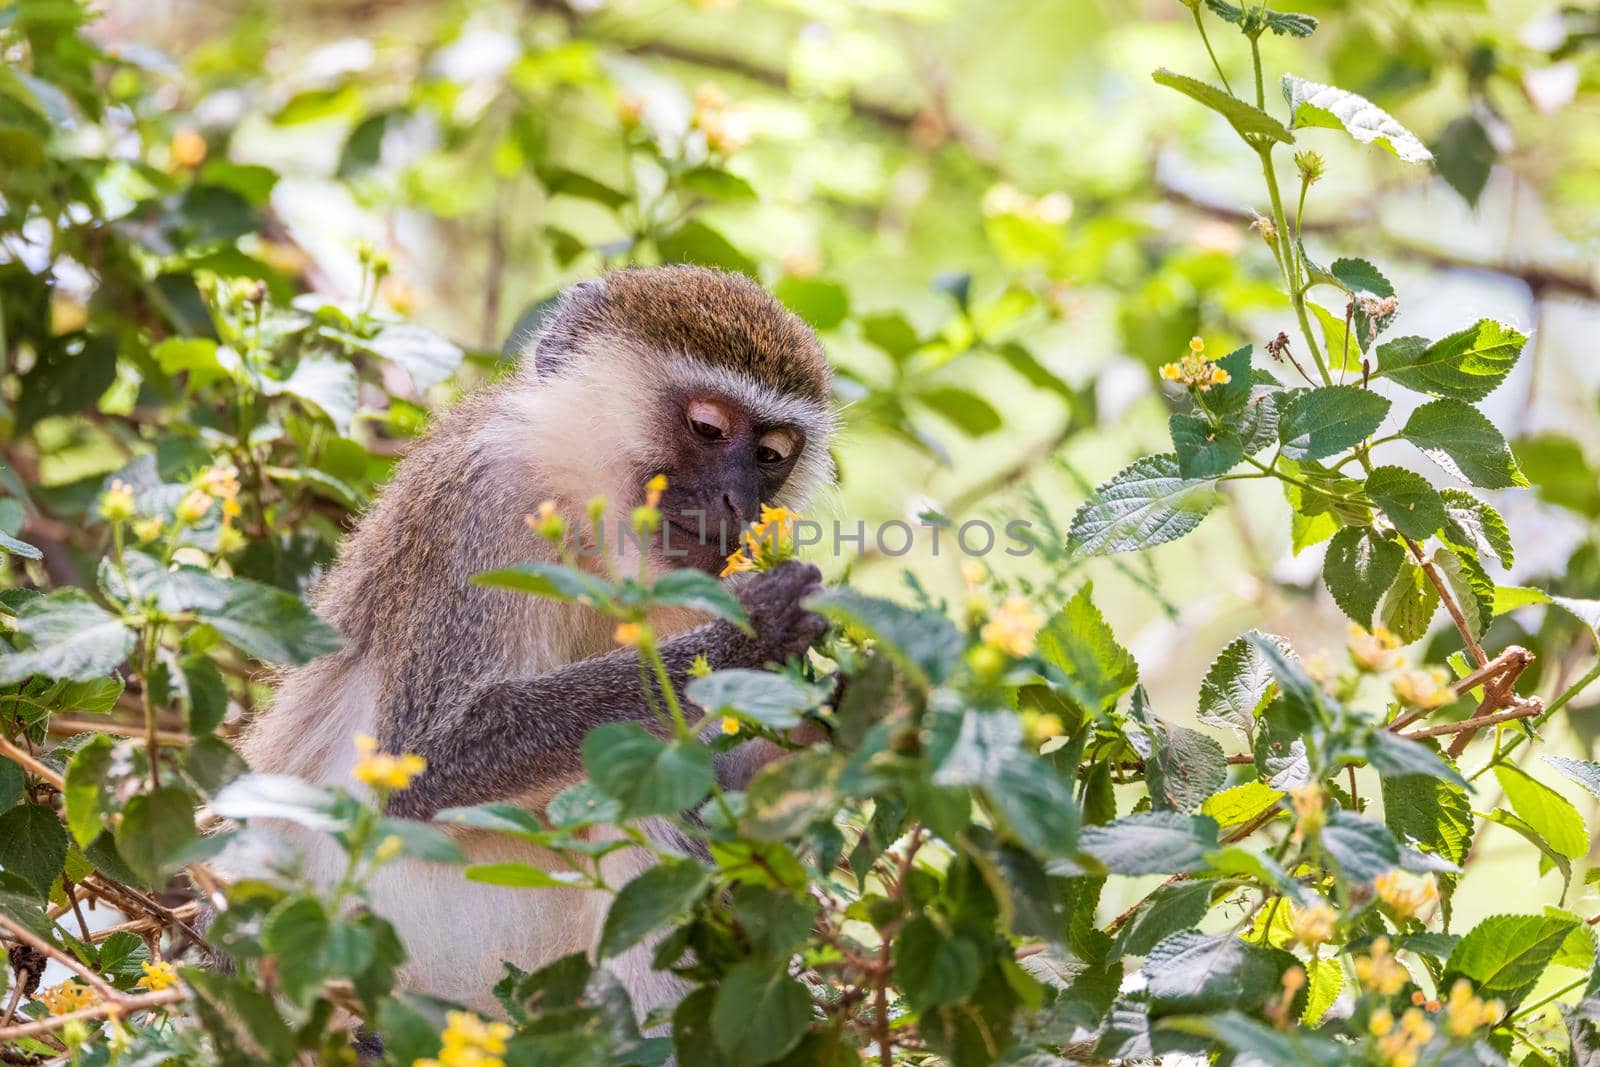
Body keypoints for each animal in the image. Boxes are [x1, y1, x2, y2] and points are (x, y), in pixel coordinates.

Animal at [236, 267, 838, 1017]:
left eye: (771, 456)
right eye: (707, 427)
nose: (741, 504)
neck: (584, 525)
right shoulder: (483, 502)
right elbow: (423, 766)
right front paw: (754, 636)